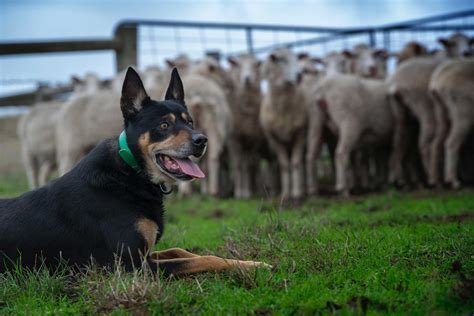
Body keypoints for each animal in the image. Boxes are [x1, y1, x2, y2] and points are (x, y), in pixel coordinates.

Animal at [0, 68, 270, 276]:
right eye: (164, 125)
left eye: (190, 122)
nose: (202, 140)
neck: (132, 171)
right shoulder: (133, 266)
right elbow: (205, 259)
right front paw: (253, 265)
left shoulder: (147, 254)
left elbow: (182, 251)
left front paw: (251, 262)